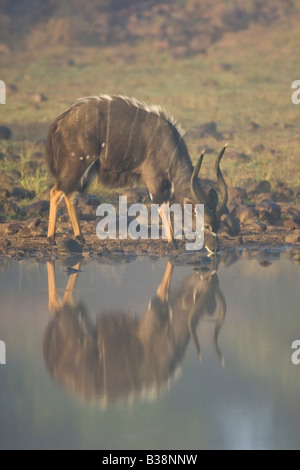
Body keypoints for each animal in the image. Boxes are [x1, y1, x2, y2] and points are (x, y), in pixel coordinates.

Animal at [44, 258, 226, 406]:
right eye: (207, 280)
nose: (203, 271)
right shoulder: (154, 317)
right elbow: (162, 292)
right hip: (75, 318)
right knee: (60, 302)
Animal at [46, 93, 227, 252]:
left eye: (218, 225)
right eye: (207, 225)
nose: (214, 249)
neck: (168, 145)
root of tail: (58, 123)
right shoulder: (153, 179)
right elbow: (163, 206)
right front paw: (172, 243)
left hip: (89, 170)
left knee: (70, 194)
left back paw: (80, 237)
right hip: (78, 163)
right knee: (56, 191)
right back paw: (51, 238)